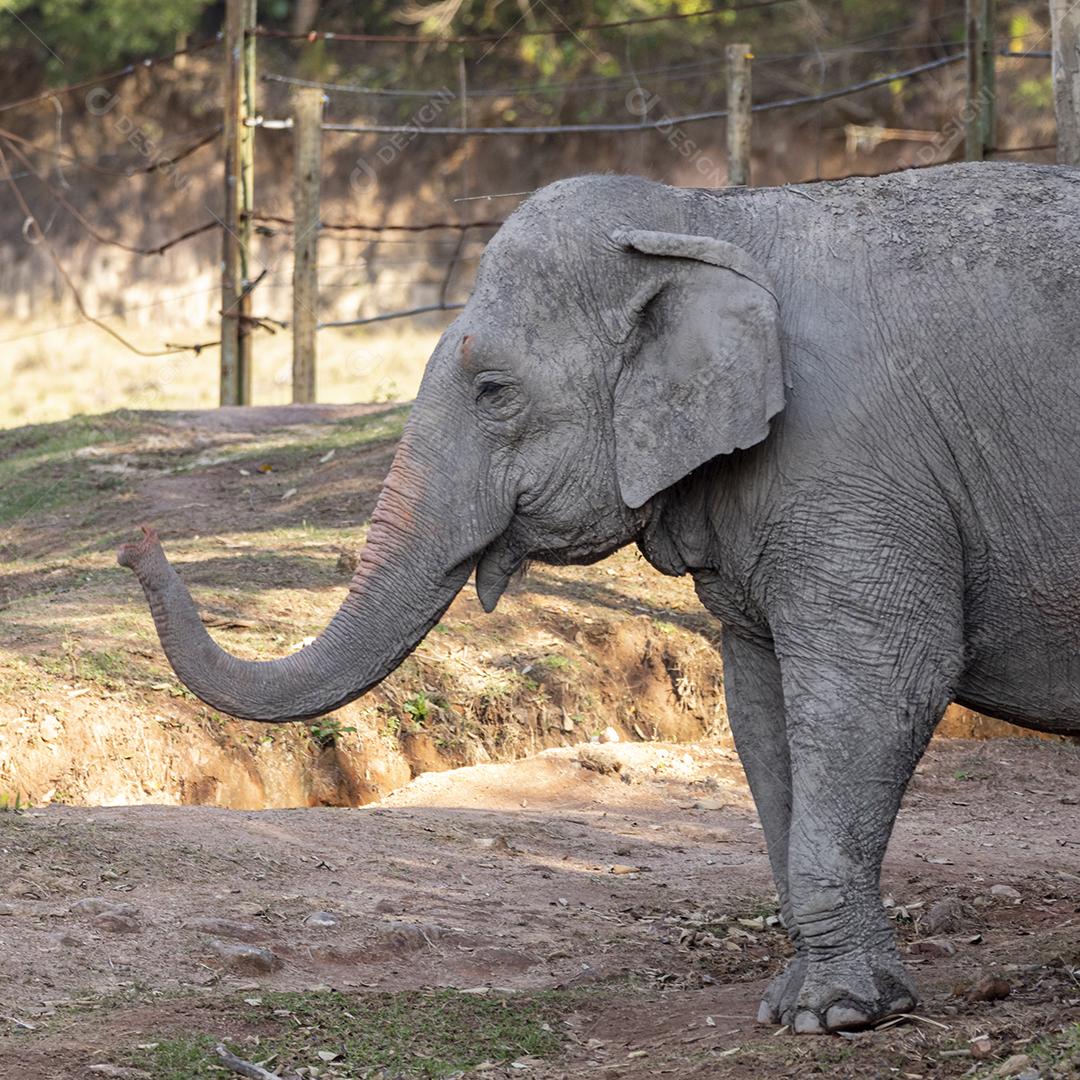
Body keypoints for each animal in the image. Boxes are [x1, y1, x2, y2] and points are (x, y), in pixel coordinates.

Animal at [119, 160, 1080, 1034]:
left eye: (493, 391)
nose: (138, 541)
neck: (708, 213)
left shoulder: (852, 464)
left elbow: (886, 681)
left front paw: (839, 1017)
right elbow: (760, 703)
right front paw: (792, 1006)